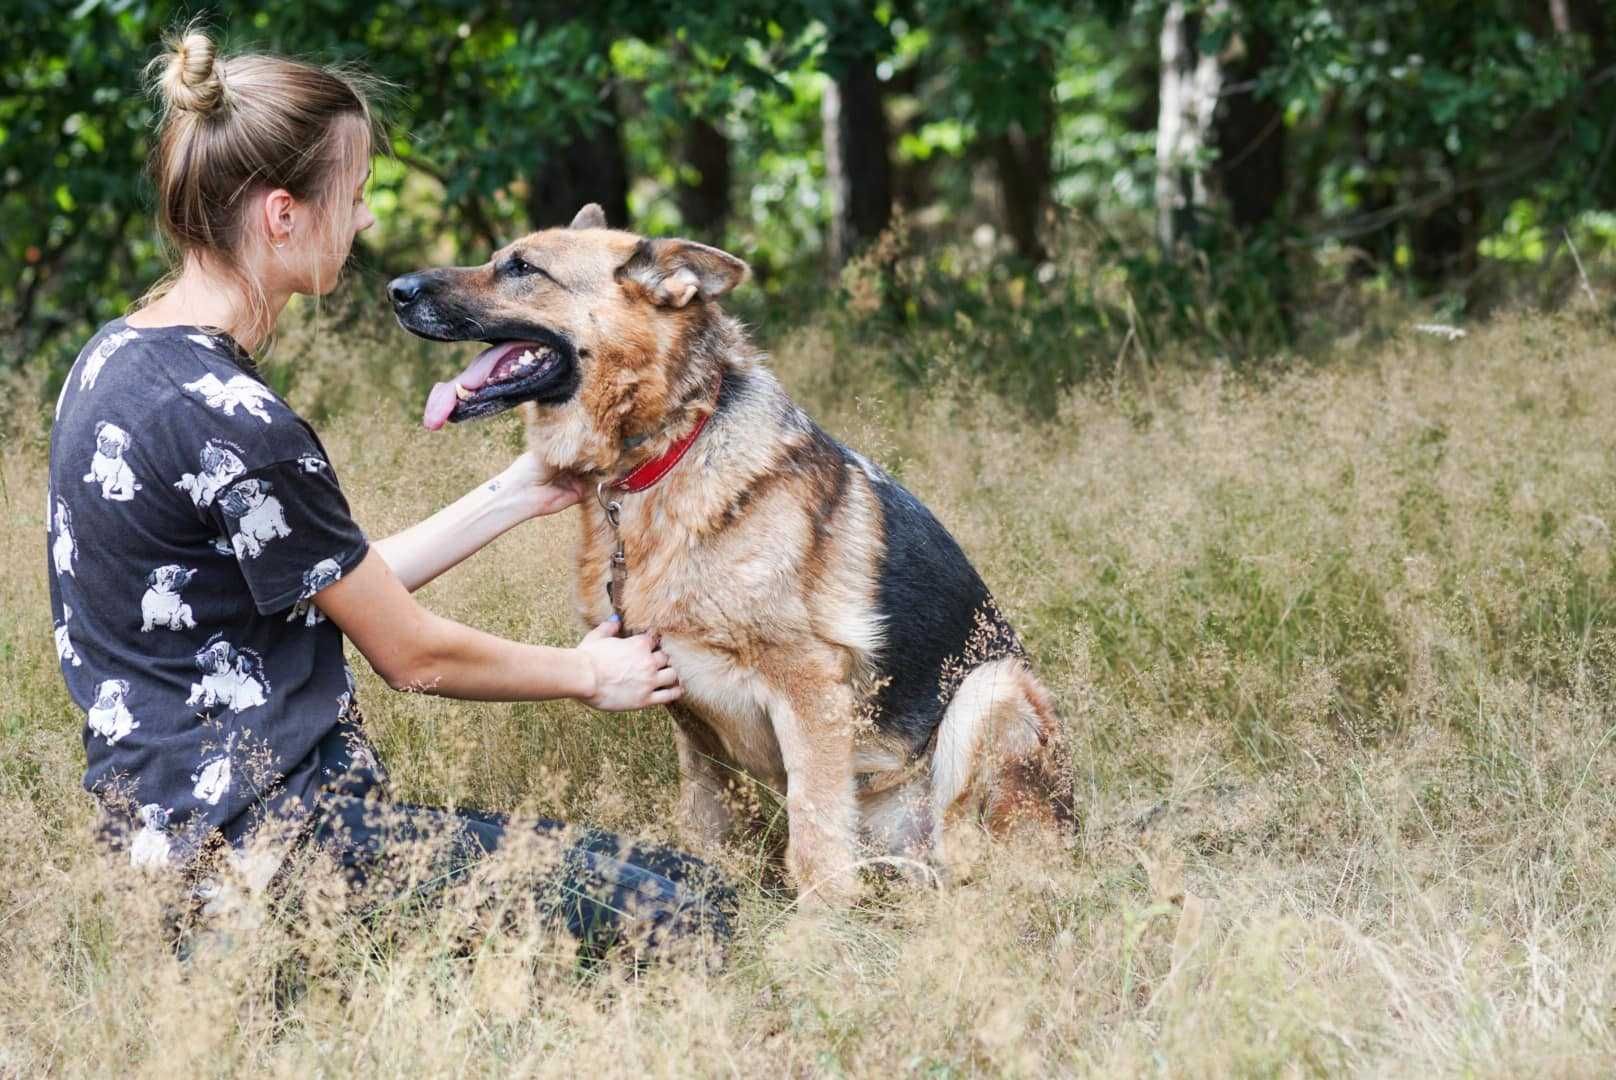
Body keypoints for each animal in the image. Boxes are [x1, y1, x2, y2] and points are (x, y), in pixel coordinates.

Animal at [391, 204, 1073, 905]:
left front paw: (817, 928)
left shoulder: (809, 694)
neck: (664, 452)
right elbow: (706, 830)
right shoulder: (689, 717)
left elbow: (814, 842)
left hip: (990, 692)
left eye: (522, 267)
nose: (396, 290)